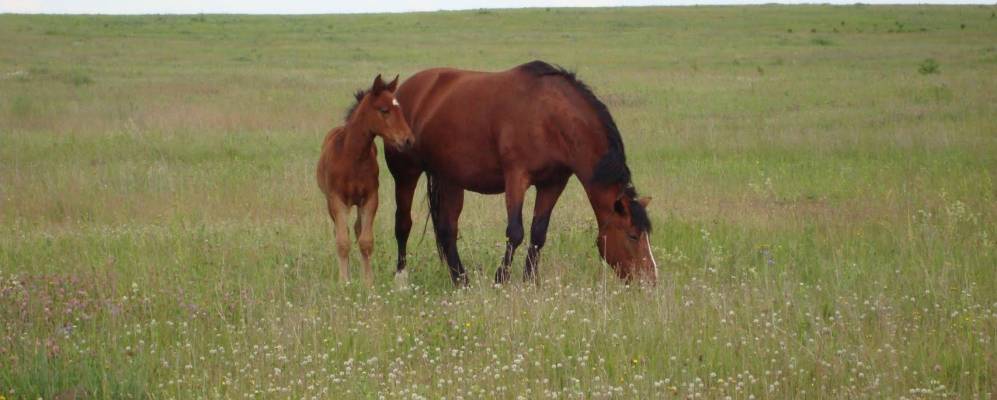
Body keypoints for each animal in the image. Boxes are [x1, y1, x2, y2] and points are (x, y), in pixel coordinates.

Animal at [318, 75, 414, 286]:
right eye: (384, 110)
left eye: (400, 109)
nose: (408, 140)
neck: (351, 157)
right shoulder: (337, 200)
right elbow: (342, 242)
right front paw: (344, 281)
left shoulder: (370, 198)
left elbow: (365, 241)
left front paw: (368, 281)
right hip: (331, 203)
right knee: (341, 231)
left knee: (356, 229)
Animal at [386, 59, 656, 286]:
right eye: (633, 236)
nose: (650, 281)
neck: (550, 118)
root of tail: (402, 92)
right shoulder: (516, 177)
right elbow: (515, 232)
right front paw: (501, 278)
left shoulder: (553, 183)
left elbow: (538, 233)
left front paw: (530, 281)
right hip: (405, 173)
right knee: (403, 223)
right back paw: (401, 278)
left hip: (450, 179)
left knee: (447, 229)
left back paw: (461, 280)